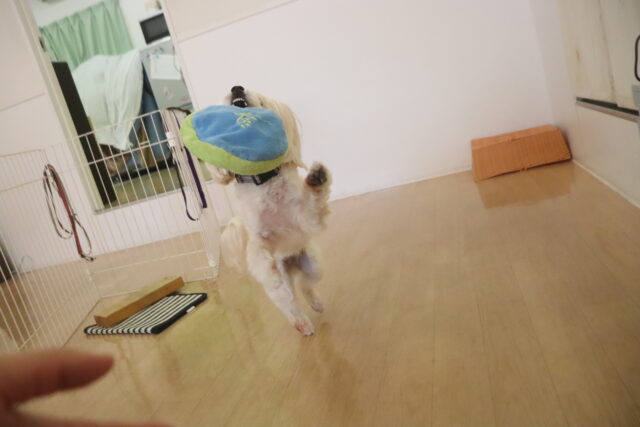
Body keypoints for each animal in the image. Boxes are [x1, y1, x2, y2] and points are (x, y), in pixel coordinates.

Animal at [209, 86, 332, 336]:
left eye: (261, 101)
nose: (236, 87)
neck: (264, 183)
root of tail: (291, 265)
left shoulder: (307, 218)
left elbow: (313, 202)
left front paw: (316, 177)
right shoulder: (259, 238)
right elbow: (263, 255)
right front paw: (270, 271)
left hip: (313, 265)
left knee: (306, 286)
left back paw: (315, 303)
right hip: (283, 288)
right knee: (289, 305)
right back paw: (301, 323)